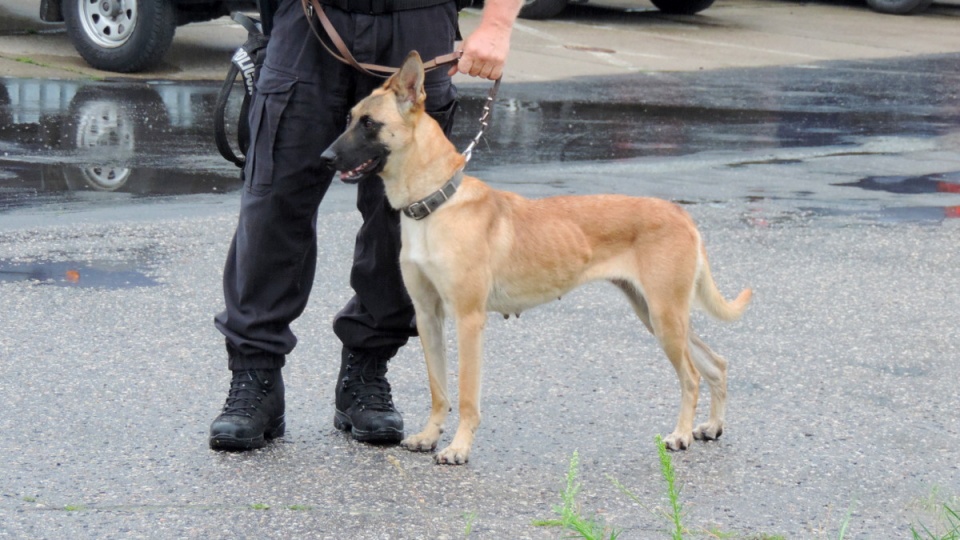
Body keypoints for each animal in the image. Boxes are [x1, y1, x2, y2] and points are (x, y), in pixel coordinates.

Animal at [320, 51, 752, 464]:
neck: (436, 203)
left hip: (665, 316)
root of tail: (682, 214)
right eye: (349, 118)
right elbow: (438, 389)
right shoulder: (429, 317)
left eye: (369, 124)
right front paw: (429, 436)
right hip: (656, 314)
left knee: (692, 376)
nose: (324, 157)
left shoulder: (468, 319)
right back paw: (711, 426)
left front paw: (458, 448)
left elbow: (465, 395)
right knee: (717, 364)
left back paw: (680, 434)